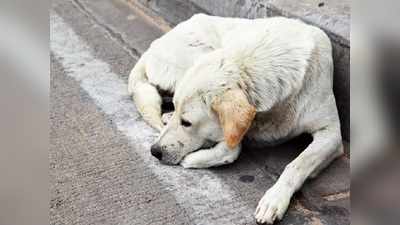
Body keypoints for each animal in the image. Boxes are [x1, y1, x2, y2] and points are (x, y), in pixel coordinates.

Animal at [128, 13, 344, 223]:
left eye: (187, 123)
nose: (154, 151)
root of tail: (151, 48)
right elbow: (232, 147)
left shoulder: (332, 134)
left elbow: (297, 164)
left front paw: (274, 199)